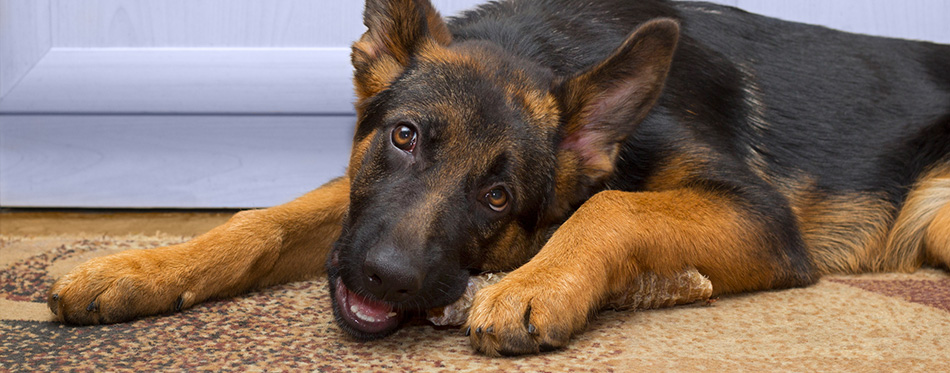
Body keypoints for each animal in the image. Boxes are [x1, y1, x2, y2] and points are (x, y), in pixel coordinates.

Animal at [50, 0, 950, 356]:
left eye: (498, 196)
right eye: (405, 138)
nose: (388, 277)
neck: (542, 44)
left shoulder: (757, 213)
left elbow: (612, 208)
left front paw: (535, 284)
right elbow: (262, 219)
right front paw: (138, 265)